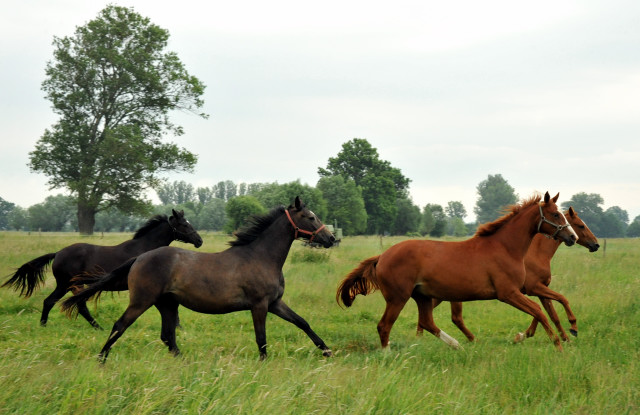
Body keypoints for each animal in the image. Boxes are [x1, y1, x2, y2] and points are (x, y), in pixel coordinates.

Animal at [1, 210, 202, 330]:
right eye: (184, 224)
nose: (199, 241)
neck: (146, 248)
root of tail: (58, 253)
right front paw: (179, 327)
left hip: (71, 285)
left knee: (62, 303)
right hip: (68, 284)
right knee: (63, 303)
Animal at [62, 197, 338, 362]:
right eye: (310, 217)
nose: (331, 239)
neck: (260, 256)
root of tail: (140, 258)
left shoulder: (275, 303)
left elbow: (302, 322)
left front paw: (326, 350)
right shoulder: (259, 306)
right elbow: (261, 338)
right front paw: (263, 364)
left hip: (167, 304)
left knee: (167, 336)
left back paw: (183, 361)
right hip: (142, 301)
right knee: (120, 325)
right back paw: (101, 358)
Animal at [338, 192, 576, 352]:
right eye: (555, 215)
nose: (572, 237)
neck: (505, 247)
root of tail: (382, 257)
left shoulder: (518, 292)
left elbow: (541, 310)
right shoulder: (508, 293)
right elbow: (539, 311)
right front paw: (558, 343)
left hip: (422, 296)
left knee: (427, 322)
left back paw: (457, 345)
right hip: (398, 298)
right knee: (384, 326)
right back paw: (389, 354)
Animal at [424, 207, 600, 344]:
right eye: (581, 226)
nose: (596, 245)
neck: (536, 253)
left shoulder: (538, 289)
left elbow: (549, 313)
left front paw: (562, 337)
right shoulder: (534, 288)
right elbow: (558, 302)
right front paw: (571, 329)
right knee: (452, 317)